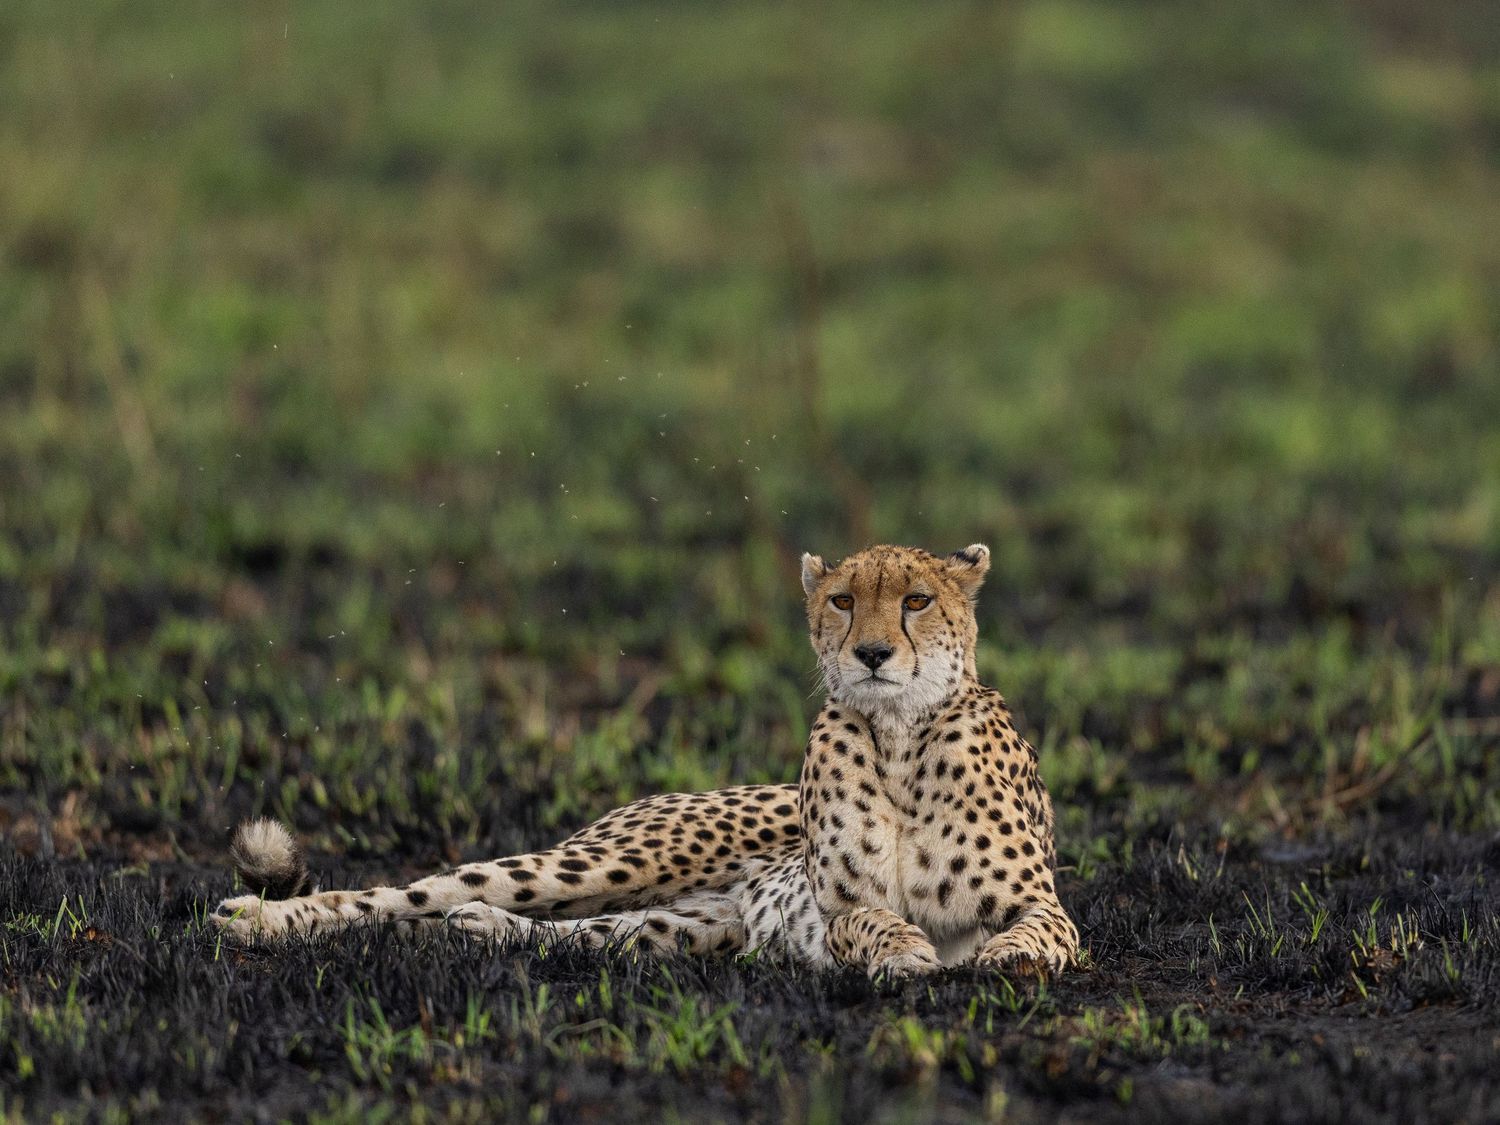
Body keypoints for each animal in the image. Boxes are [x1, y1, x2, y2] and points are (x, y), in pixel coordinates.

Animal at [212, 542, 1079, 978]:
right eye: (842, 600)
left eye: (916, 600)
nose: (870, 652)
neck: (900, 738)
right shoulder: (835, 911)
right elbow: (865, 918)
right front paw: (902, 949)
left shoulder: (1047, 906)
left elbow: (1037, 933)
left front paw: (1001, 957)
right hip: (599, 864)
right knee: (394, 893)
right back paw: (256, 919)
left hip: (692, 926)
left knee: (582, 932)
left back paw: (483, 929)